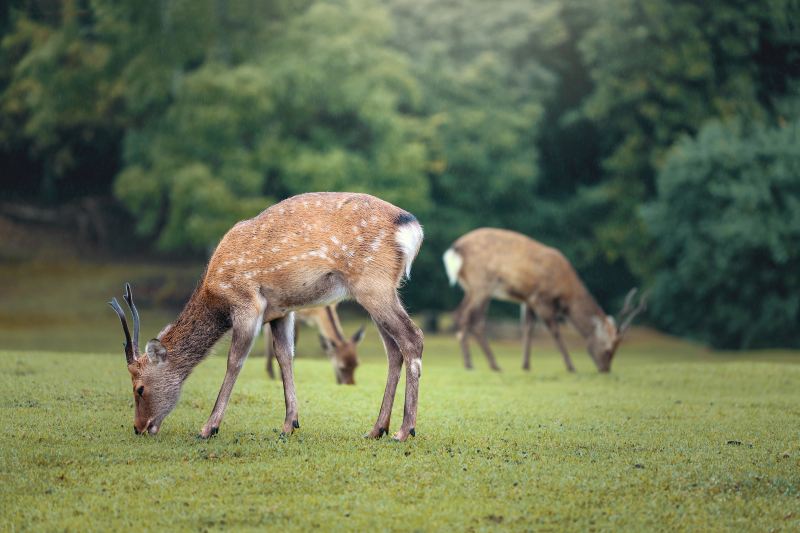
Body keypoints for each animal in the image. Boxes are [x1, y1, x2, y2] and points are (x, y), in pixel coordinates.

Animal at [109, 191, 428, 440]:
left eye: (139, 388)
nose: (139, 427)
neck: (215, 294)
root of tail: (412, 227)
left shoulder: (247, 303)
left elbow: (234, 361)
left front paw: (209, 427)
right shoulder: (280, 311)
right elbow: (285, 356)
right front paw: (290, 424)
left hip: (373, 283)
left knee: (412, 338)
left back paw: (404, 430)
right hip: (379, 288)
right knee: (393, 349)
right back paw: (377, 429)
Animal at [440, 227, 648, 372]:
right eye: (608, 349)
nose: (605, 369)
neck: (566, 291)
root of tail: (454, 250)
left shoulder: (528, 300)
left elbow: (528, 328)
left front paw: (526, 365)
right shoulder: (541, 298)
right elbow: (554, 330)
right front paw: (571, 366)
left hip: (472, 287)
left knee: (463, 315)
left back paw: (482, 363)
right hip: (482, 284)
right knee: (471, 317)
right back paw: (479, 364)